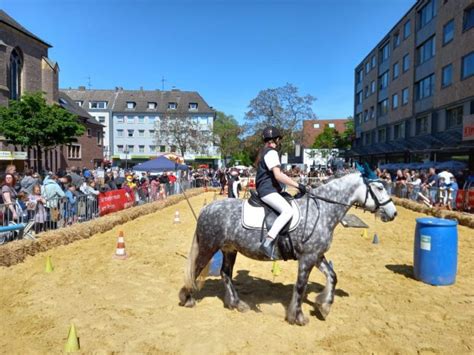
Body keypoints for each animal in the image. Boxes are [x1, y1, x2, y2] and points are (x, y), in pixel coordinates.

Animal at [178, 171, 396, 326]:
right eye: (379, 187)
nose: (393, 213)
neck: (322, 210)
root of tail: (207, 208)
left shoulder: (317, 255)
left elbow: (332, 277)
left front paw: (323, 306)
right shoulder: (308, 258)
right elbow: (300, 286)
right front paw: (298, 317)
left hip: (229, 249)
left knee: (225, 273)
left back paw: (236, 304)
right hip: (208, 247)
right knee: (195, 271)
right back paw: (187, 298)